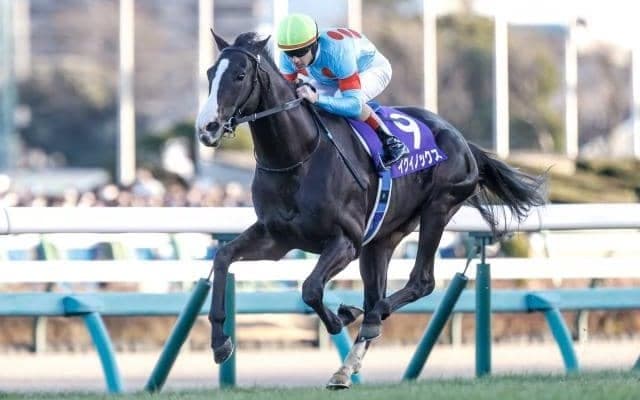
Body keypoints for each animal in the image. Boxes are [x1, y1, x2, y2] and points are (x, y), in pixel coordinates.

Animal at [195, 31, 545, 388]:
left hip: (437, 209)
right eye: (210, 73)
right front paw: (220, 342)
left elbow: (311, 289)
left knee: (418, 283)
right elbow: (223, 258)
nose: (207, 127)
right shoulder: (276, 238)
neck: (298, 157)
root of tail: (463, 141)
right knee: (376, 294)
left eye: (240, 75)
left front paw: (341, 317)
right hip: (381, 239)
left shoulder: (346, 241)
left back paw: (369, 318)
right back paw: (346, 366)